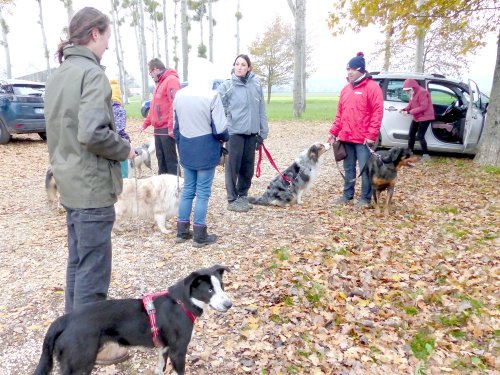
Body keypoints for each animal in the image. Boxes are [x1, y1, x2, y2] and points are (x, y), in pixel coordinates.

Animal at [33, 266, 232, 374]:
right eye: (209, 290)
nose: (229, 304)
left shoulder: (164, 349)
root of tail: (65, 319)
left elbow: (160, 368)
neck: (182, 302)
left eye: (222, 286)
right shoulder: (178, 350)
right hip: (80, 363)